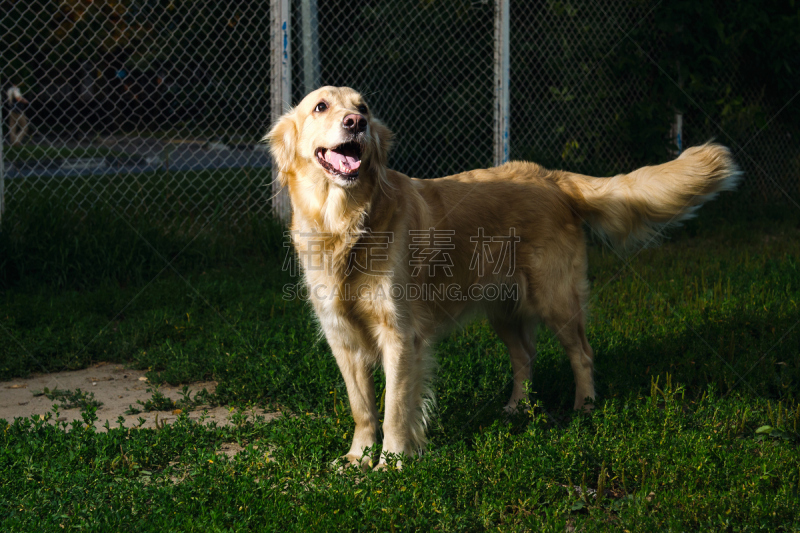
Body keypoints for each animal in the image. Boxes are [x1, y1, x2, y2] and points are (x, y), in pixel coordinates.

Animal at [268, 85, 736, 468]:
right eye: (321, 107)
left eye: (363, 107)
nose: (357, 123)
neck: (345, 223)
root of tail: (551, 177)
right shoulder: (341, 336)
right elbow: (362, 407)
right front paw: (357, 457)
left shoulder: (400, 335)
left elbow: (396, 407)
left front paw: (392, 463)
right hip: (503, 307)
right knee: (525, 356)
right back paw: (517, 408)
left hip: (556, 298)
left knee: (582, 353)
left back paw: (584, 406)